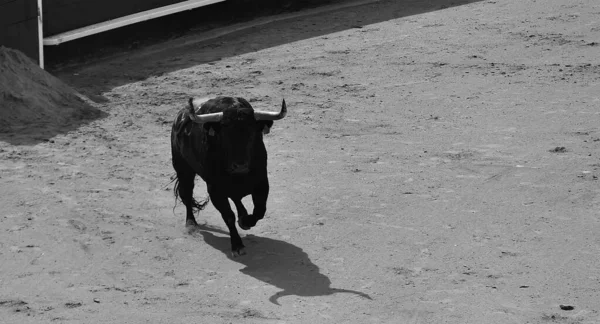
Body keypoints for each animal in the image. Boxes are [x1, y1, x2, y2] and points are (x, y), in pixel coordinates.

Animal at [171, 95, 288, 256]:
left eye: (253, 134)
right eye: (224, 135)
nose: (240, 166)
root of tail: (179, 117)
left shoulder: (262, 183)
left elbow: (259, 210)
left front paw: (245, 222)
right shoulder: (215, 190)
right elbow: (228, 216)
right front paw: (237, 245)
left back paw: (243, 216)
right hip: (183, 169)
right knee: (186, 194)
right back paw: (191, 223)